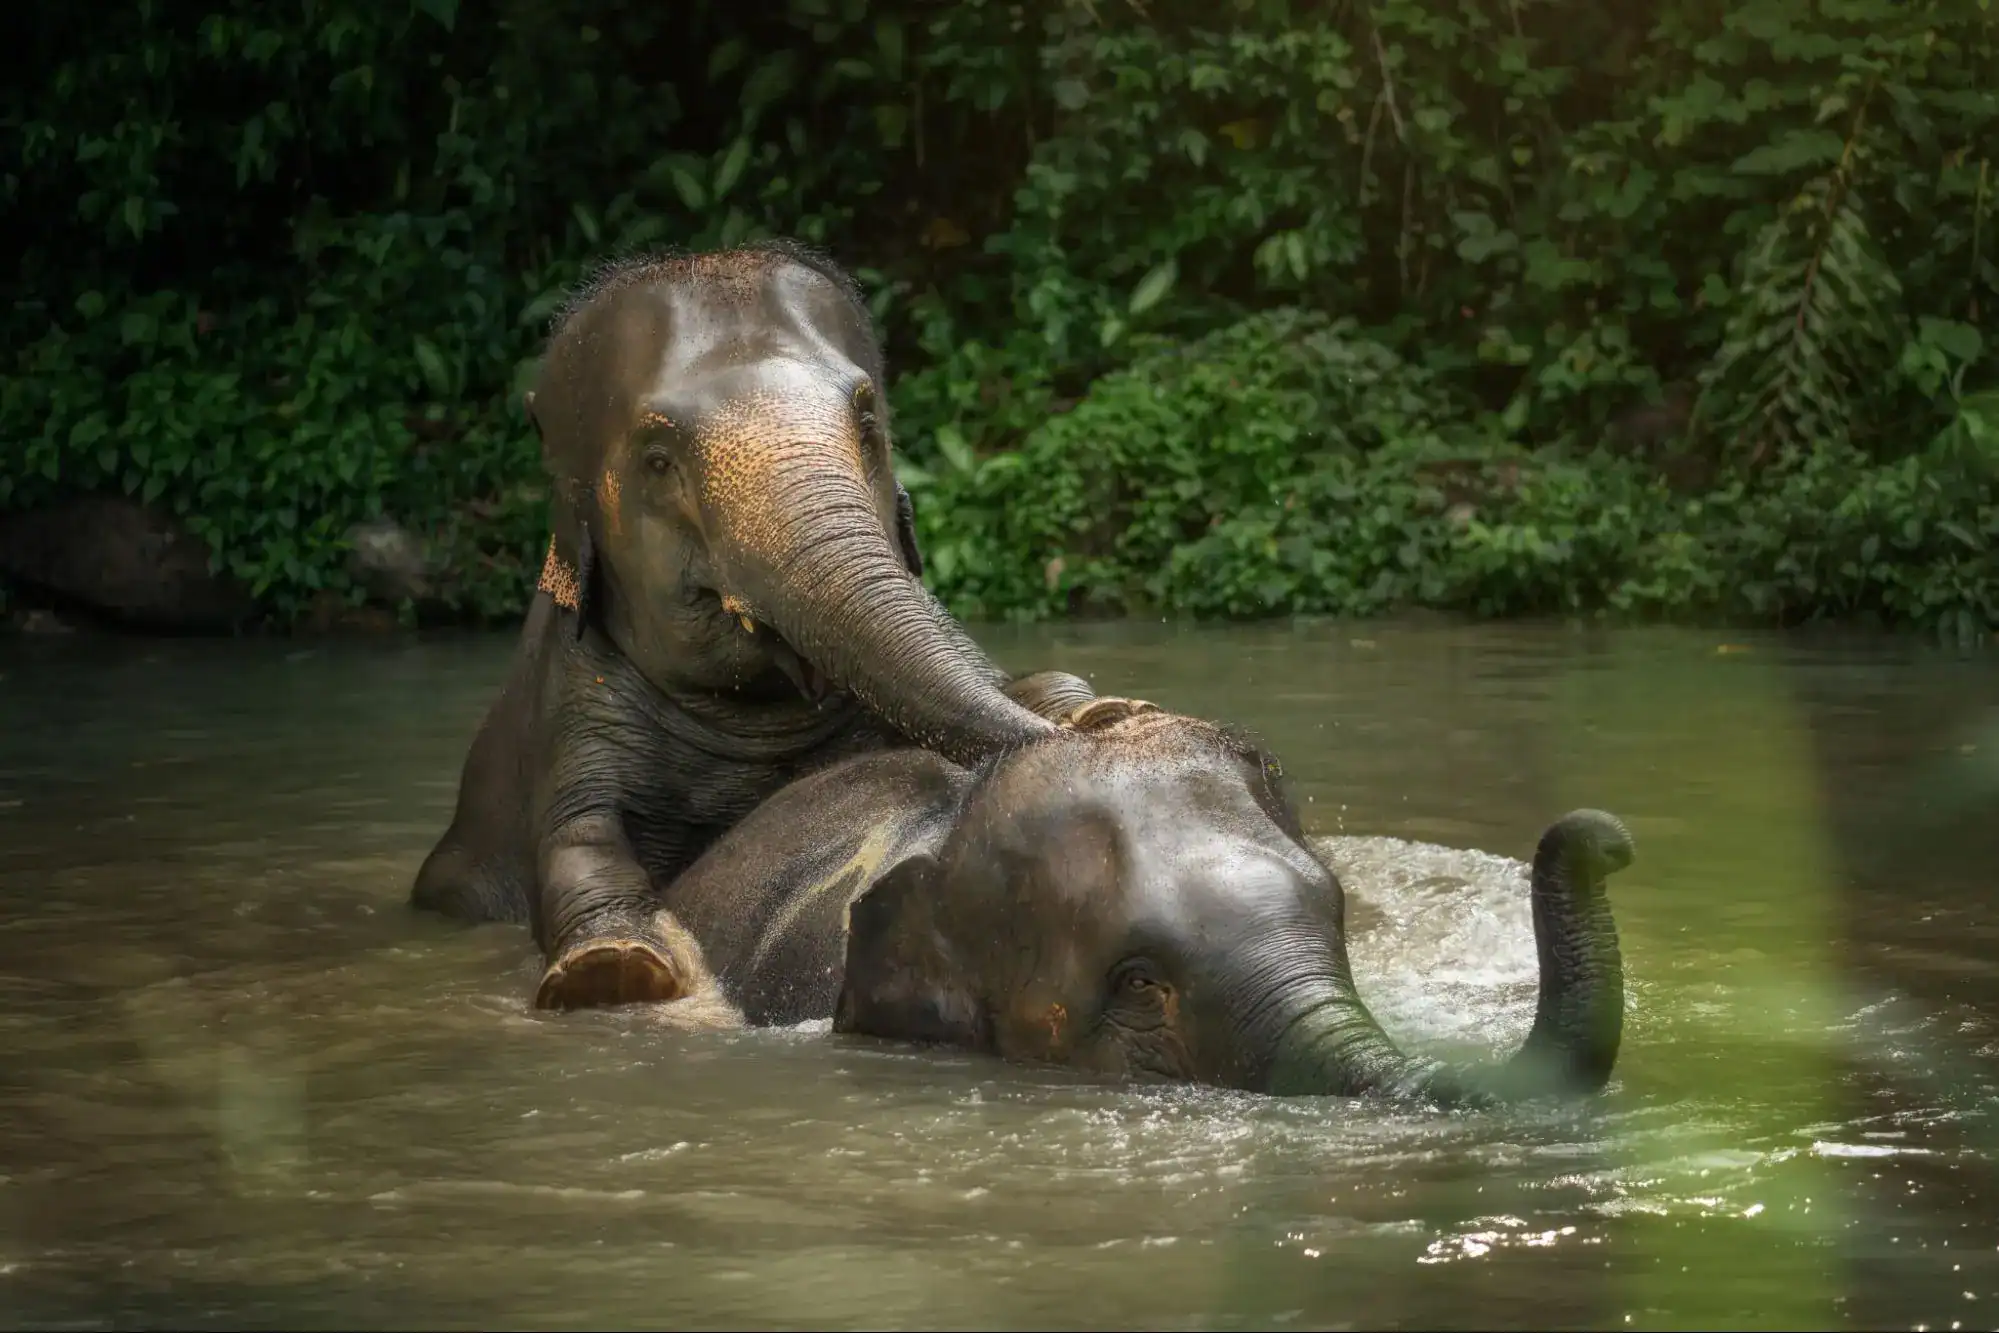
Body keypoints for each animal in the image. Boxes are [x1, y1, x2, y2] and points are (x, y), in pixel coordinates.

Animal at [410, 239, 1100, 1011]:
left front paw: (1098, 709)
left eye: (868, 426)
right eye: (657, 461)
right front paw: (610, 967)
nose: (1072, 740)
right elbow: (577, 835)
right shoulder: (573, 700)